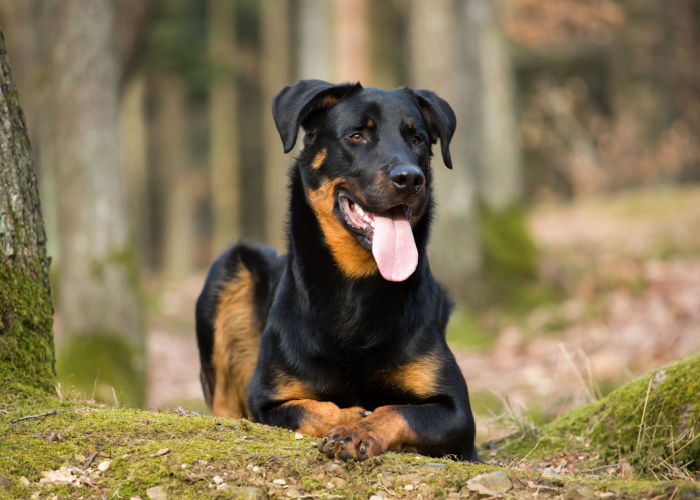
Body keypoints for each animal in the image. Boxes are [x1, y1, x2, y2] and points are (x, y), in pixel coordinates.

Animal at [197, 79, 482, 460]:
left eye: (417, 139)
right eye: (356, 136)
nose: (410, 178)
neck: (355, 286)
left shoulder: (457, 412)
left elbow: (396, 409)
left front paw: (359, 430)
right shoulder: (267, 399)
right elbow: (314, 408)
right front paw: (348, 418)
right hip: (229, 270)